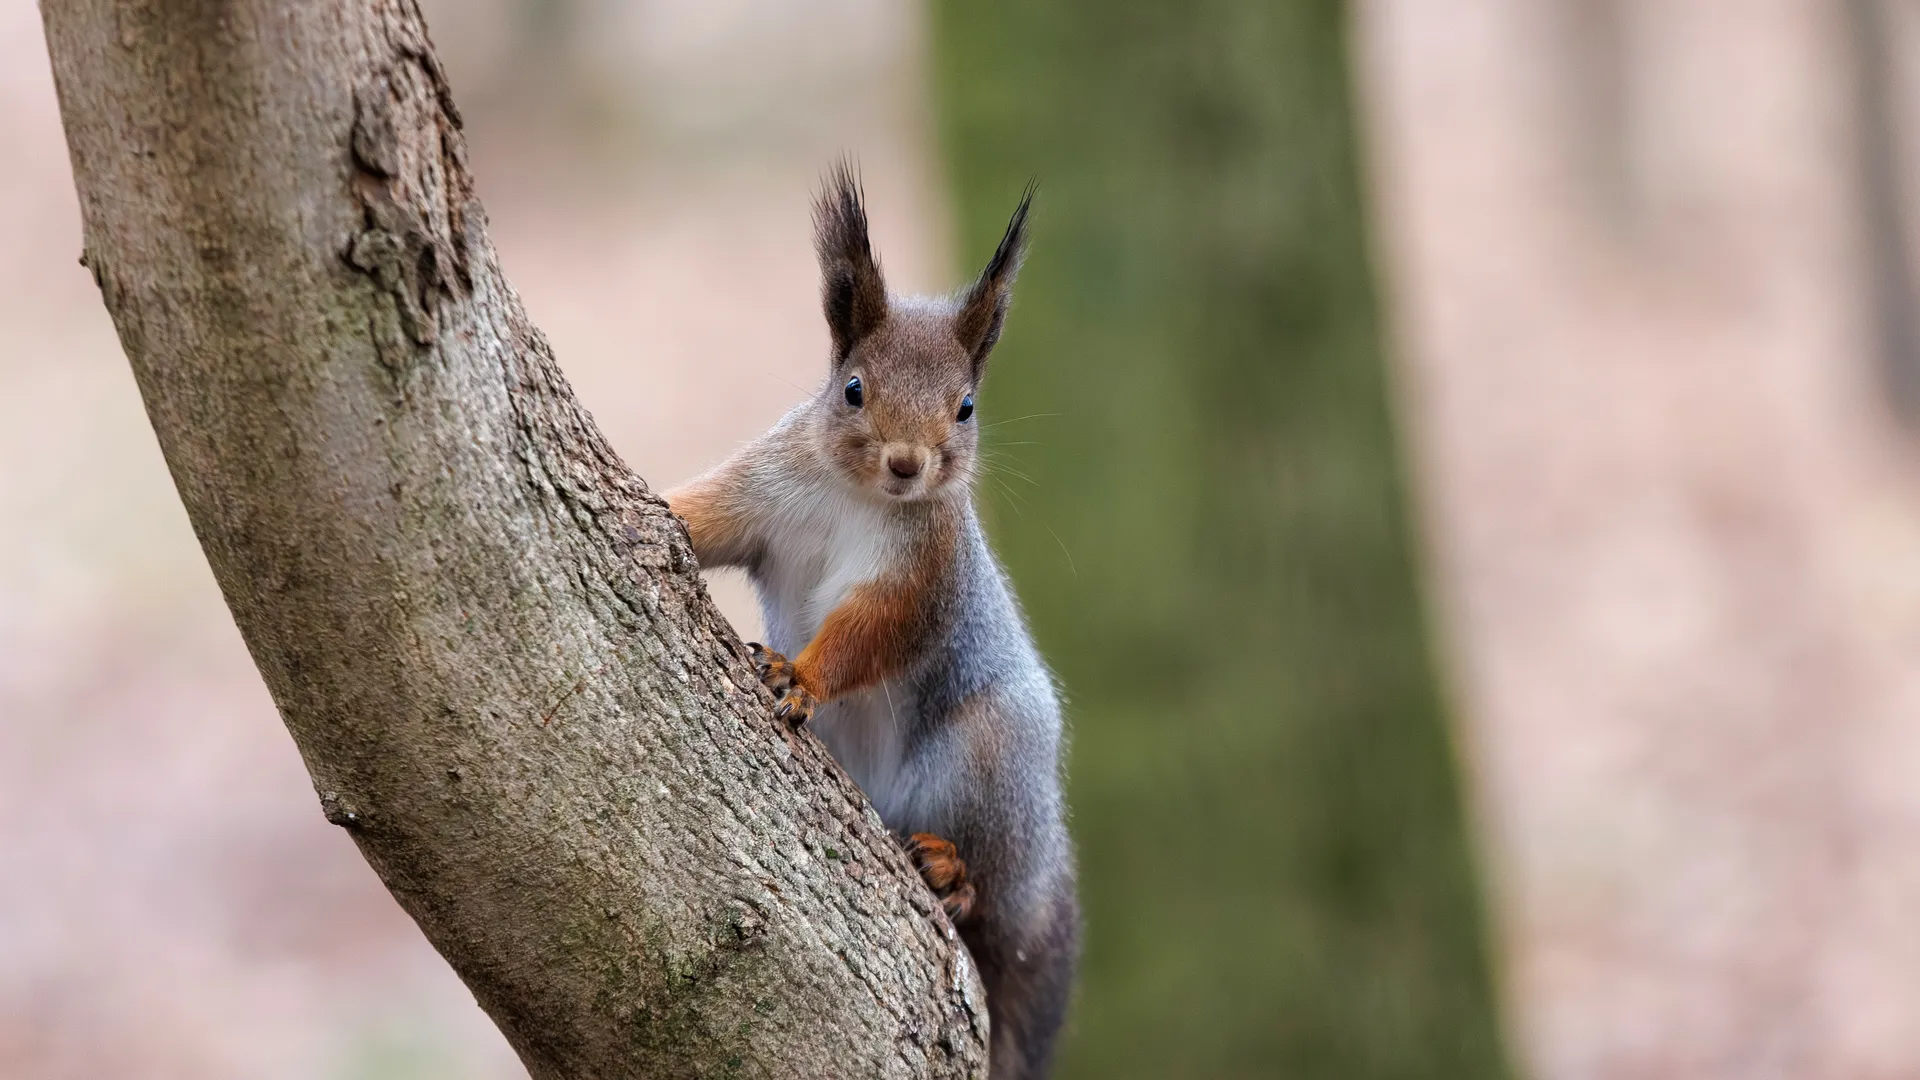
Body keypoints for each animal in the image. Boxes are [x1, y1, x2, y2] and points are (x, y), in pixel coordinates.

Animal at [664, 164, 1079, 1079]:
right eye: (853, 389)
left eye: (965, 408)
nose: (906, 463)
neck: (857, 495)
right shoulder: (763, 495)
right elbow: (707, 515)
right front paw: (656, 503)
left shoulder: (922, 578)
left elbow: (870, 634)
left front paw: (800, 674)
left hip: (995, 756)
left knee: (990, 902)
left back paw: (953, 871)